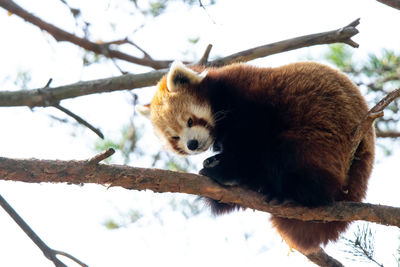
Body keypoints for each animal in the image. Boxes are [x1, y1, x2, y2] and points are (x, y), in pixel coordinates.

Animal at [138, 61, 376, 255]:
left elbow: (251, 138)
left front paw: (226, 169)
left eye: (189, 121)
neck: (220, 95)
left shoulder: (251, 99)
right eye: (175, 138)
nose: (192, 145)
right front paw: (216, 163)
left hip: (321, 139)